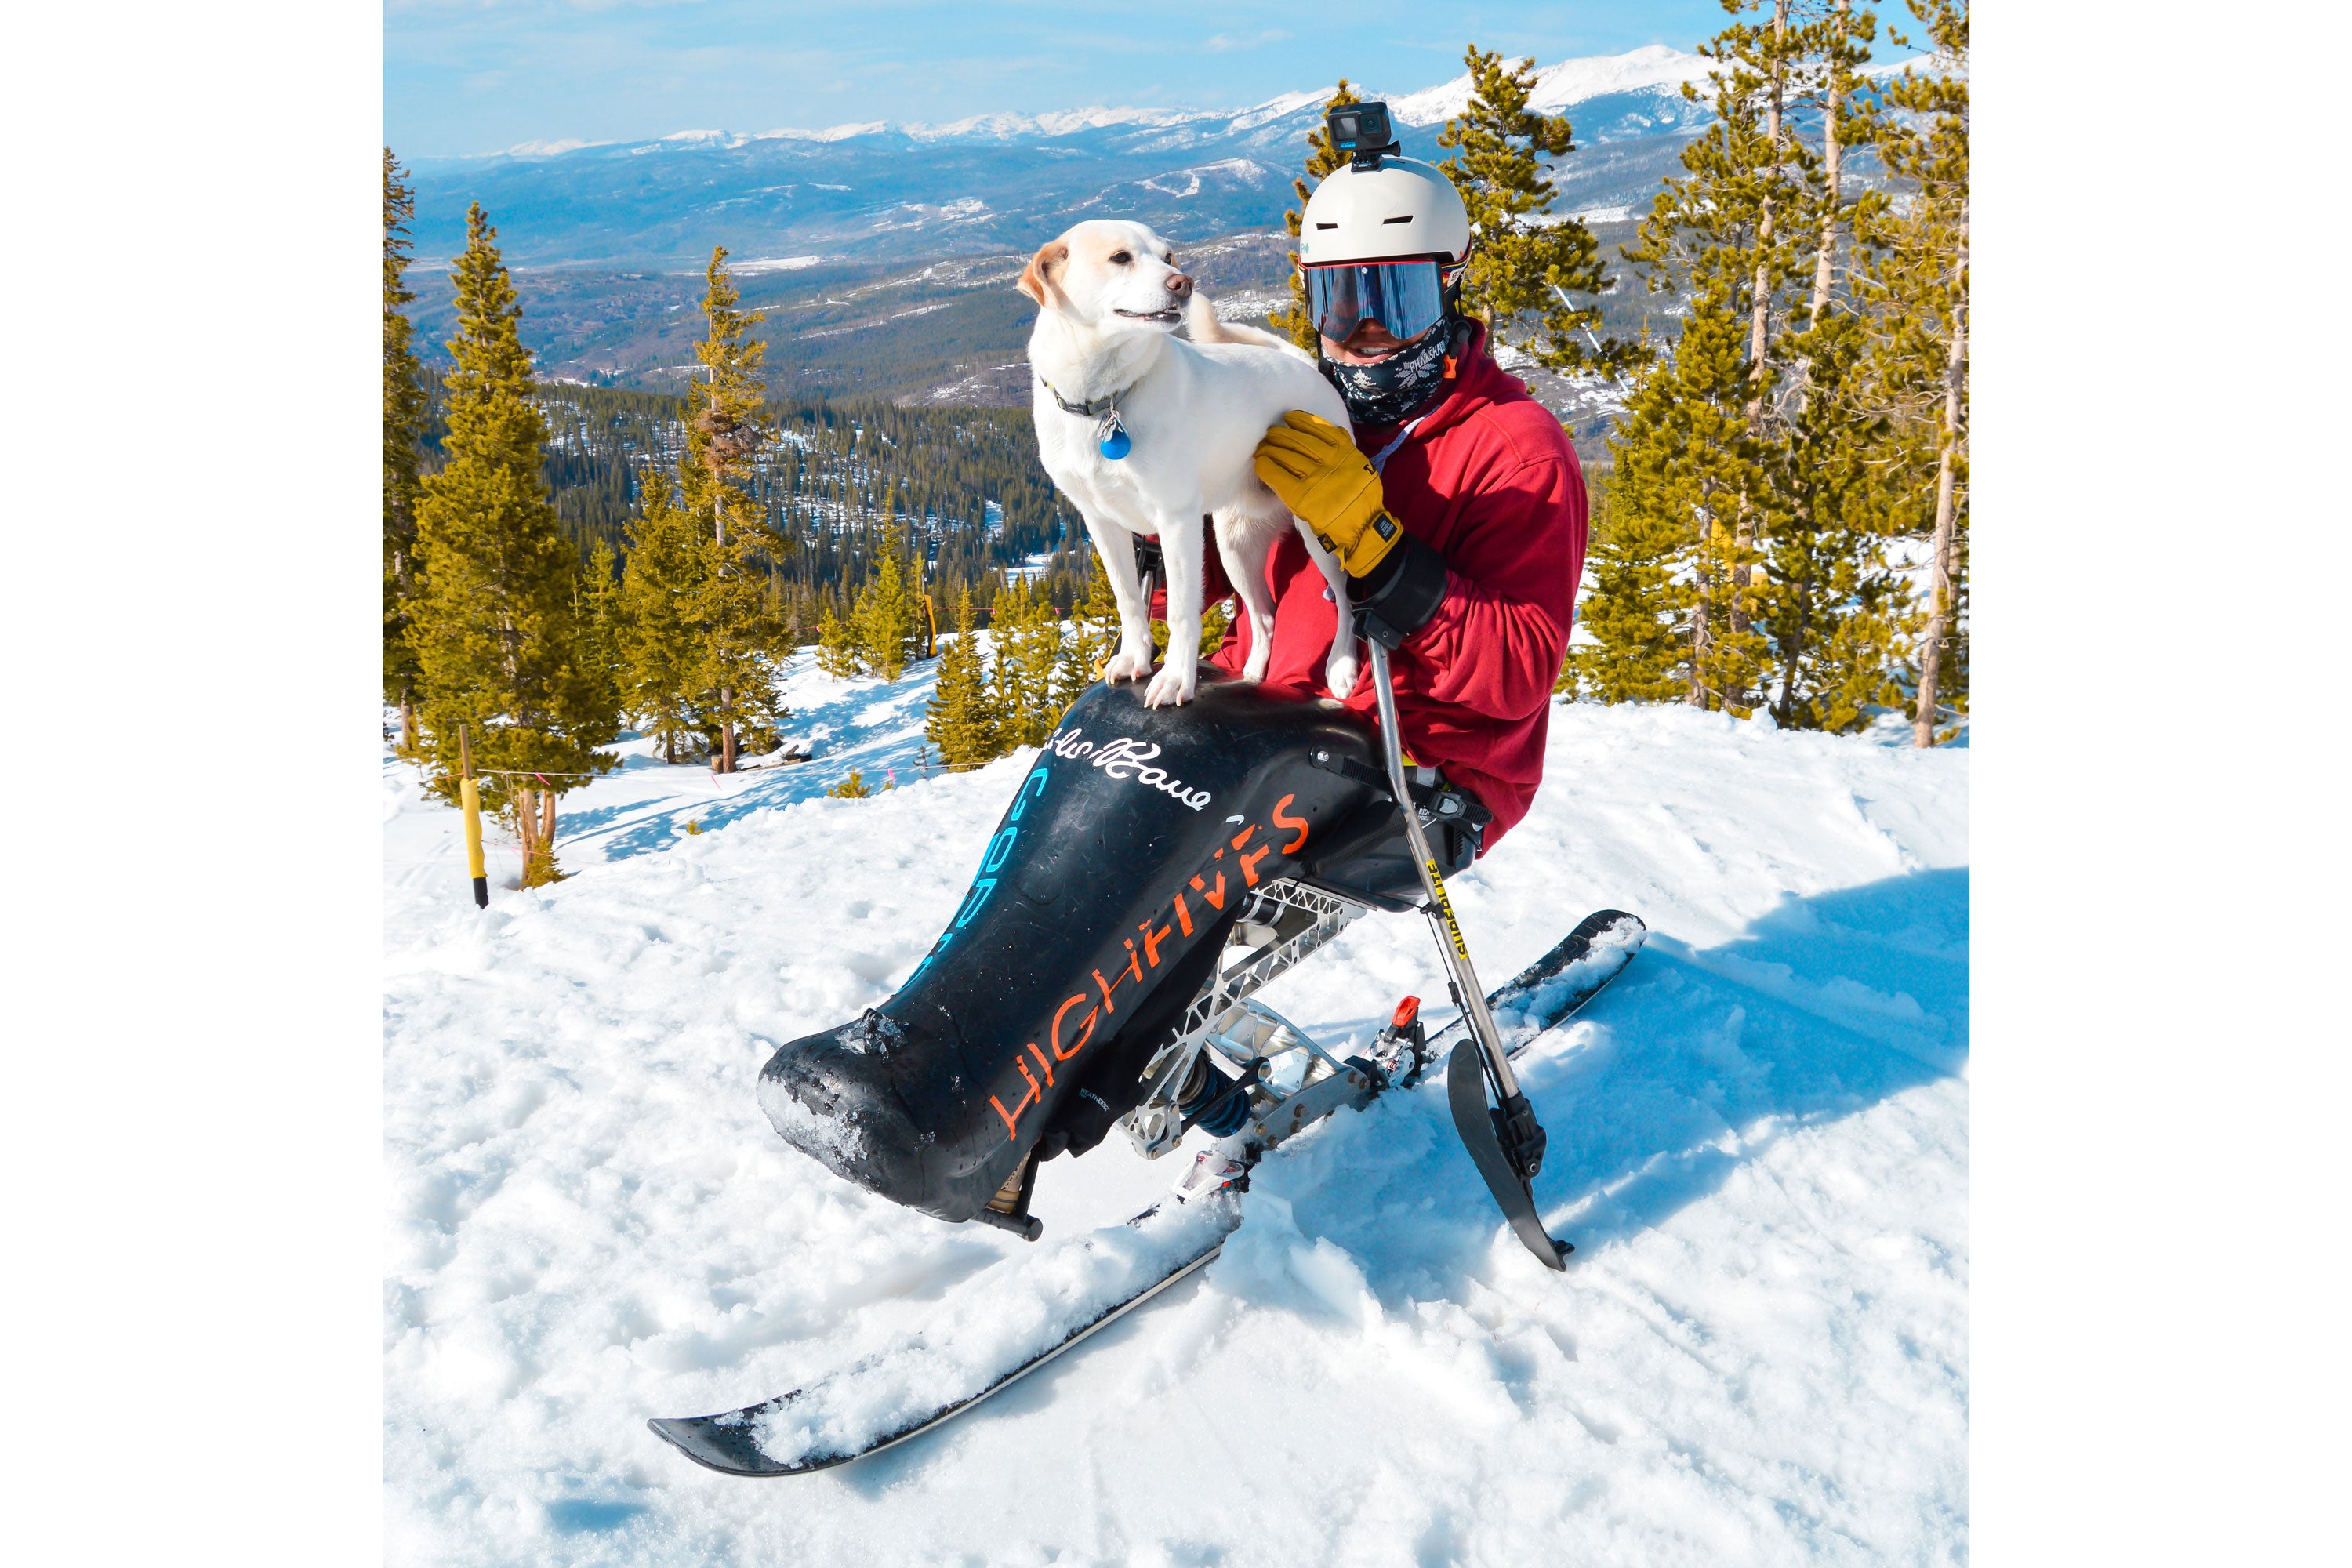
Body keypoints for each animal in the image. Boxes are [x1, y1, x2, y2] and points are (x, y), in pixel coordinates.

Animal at [1016, 217, 1364, 710]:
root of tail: (1307, 367)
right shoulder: (1102, 522)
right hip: (1234, 543)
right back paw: (1254, 675)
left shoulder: (1176, 521)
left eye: (1168, 257)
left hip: (1318, 533)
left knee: (1347, 601)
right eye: (1120, 257)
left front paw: (1175, 679)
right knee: (1264, 617)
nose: (1183, 283)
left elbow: (1182, 612)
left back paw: (1341, 667)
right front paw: (1134, 659)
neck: (1104, 401)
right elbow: (1129, 600)